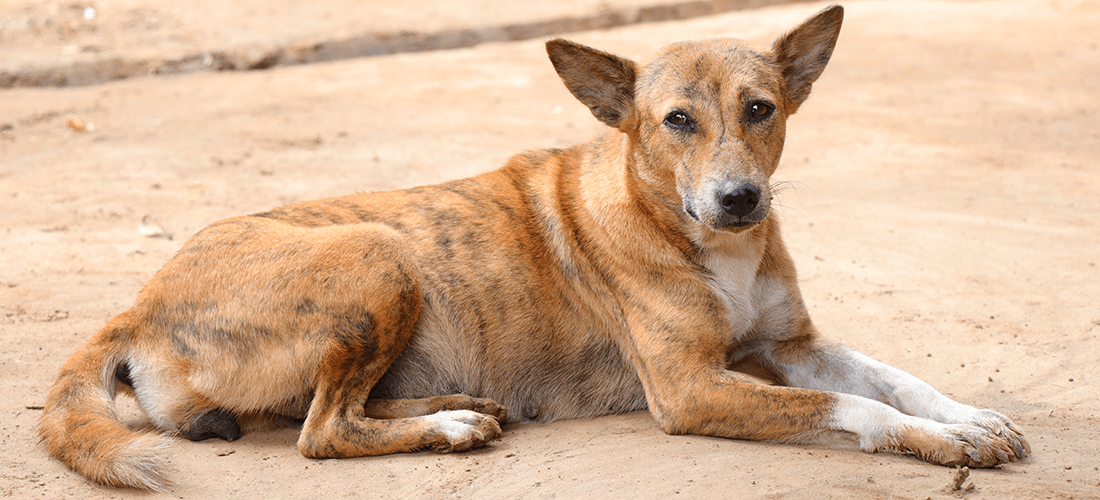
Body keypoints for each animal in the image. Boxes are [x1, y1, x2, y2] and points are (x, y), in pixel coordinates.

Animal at [36, 5, 1029, 492]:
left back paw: (451, 405)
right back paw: (444, 426)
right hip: (378, 254)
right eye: (676, 121)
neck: (690, 231)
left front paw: (968, 417)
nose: (740, 200)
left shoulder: (789, 344)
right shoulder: (694, 388)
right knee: (321, 433)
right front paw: (941, 443)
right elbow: (853, 407)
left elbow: (894, 376)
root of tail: (137, 305)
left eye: (762, 109)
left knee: (332, 409)